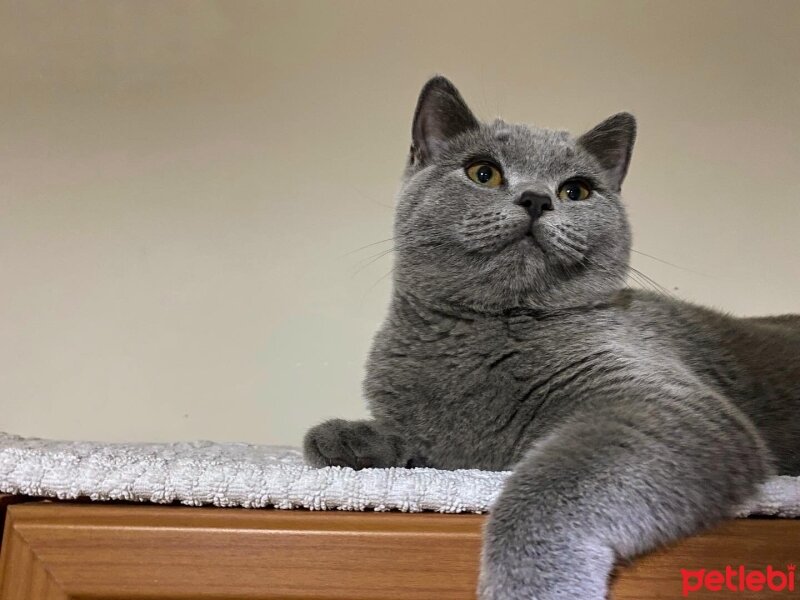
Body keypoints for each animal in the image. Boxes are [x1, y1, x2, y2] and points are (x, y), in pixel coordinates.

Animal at [302, 77, 800, 596]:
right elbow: (418, 440)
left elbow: (551, 483)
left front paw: (532, 586)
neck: (487, 330)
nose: (537, 199)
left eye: (576, 190)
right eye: (483, 173)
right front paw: (350, 439)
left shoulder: (664, 408)